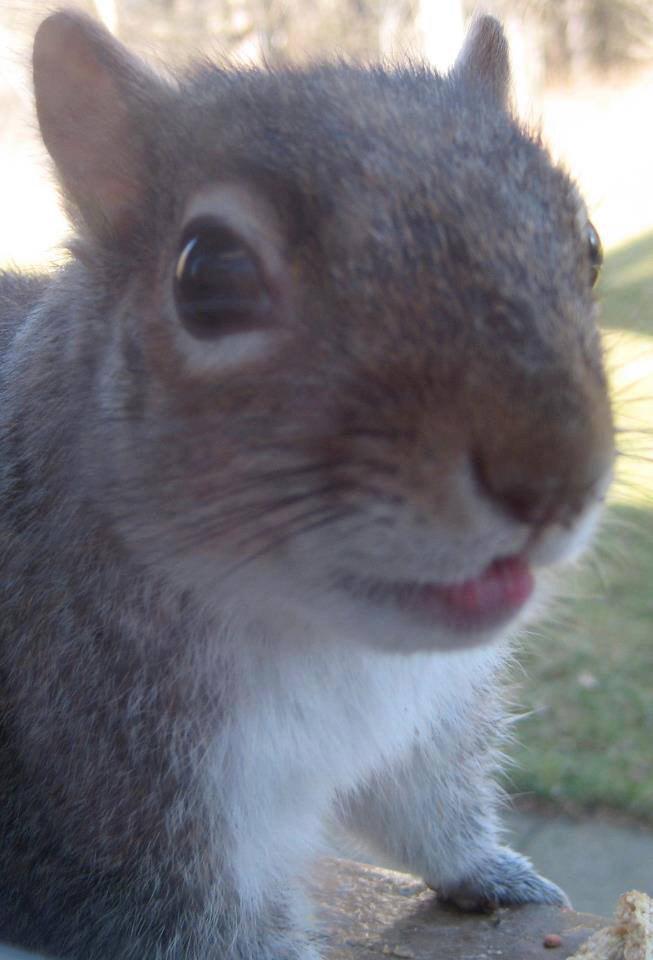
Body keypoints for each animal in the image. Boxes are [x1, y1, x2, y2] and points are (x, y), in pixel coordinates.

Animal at [0, 10, 614, 960]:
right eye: (209, 275)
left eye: (587, 248)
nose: (556, 480)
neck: (325, 642)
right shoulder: (116, 831)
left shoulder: (427, 722)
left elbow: (426, 805)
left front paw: (490, 871)